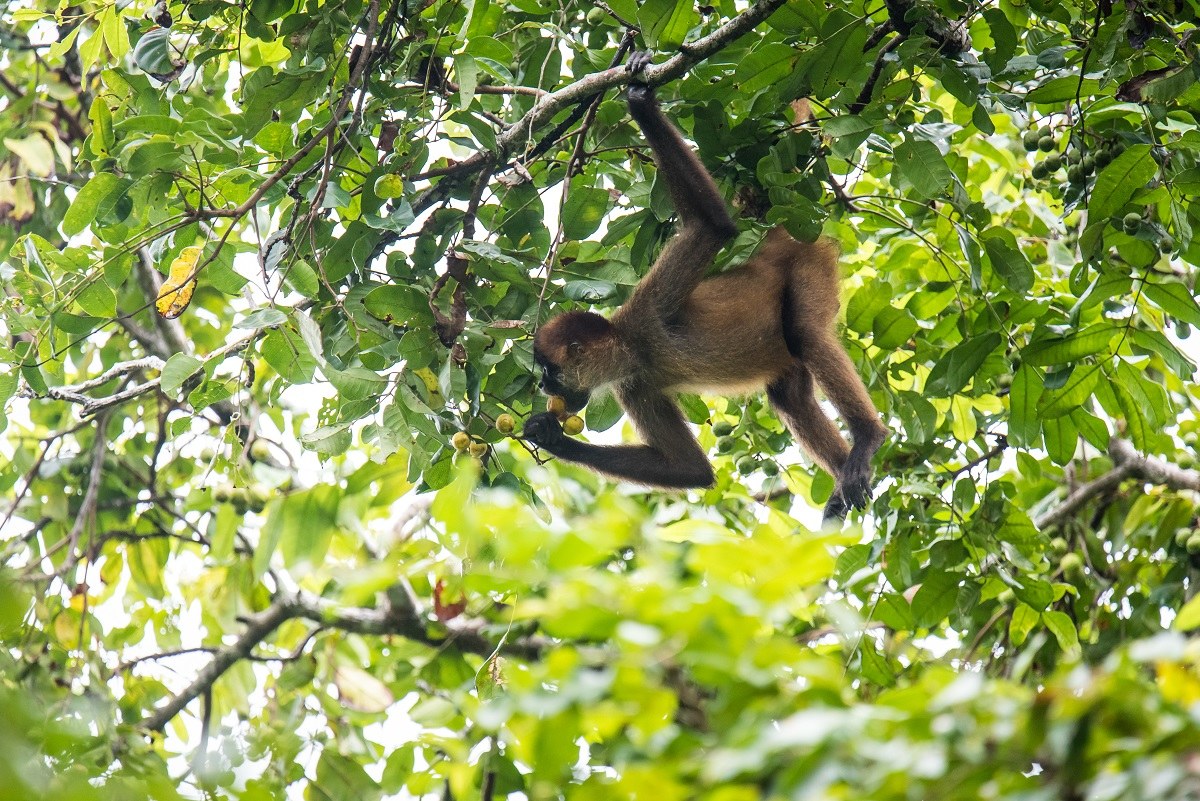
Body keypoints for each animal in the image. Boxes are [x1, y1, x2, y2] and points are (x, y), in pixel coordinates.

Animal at [523, 52, 888, 520]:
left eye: (550, 371)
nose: (543, 388)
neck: (635, 347)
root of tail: (774, 239)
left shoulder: (647, 309)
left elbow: (712, 226)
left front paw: (639, 99)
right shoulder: (635, 385)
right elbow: (690, 470)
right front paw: (548, 434)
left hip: (808, 265)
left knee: (805, 334)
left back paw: (868, 439)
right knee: (789, 395)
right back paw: (843, 486)